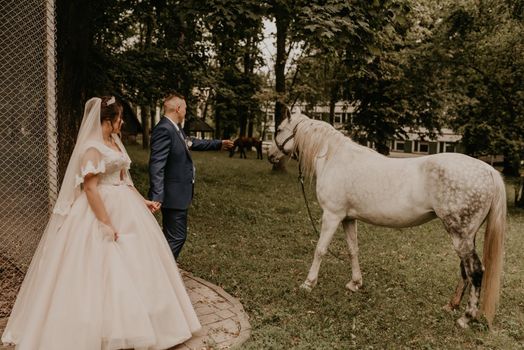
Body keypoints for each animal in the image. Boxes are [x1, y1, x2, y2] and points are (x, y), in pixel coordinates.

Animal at [268, 110, 506, 328]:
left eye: (278, 129)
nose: (270, 155)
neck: (333, 158)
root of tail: (488, 170)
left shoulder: (332, 215)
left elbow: (320, 249)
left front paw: (308, 283)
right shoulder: (347, 218)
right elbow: (353, 250)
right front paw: (355, 283)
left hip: (460, 235)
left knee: (475, 271)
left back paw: (466, 317)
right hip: (466, 236)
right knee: (465, 270)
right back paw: (452, 305)